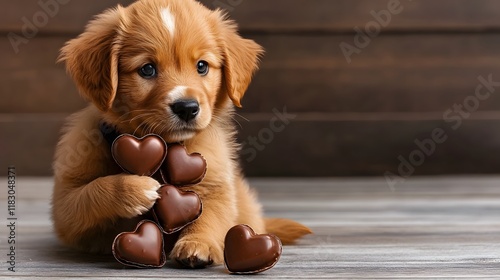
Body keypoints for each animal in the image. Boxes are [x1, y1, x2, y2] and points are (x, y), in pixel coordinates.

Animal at [52, 0, 310, 268]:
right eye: (147, 69)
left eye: (202, 66)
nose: (187, 107)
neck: (166, 147)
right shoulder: (65, 207)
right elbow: (90, 193)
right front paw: (135, 188)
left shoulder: (217, 184)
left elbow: (210, 216)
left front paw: (198, 244)